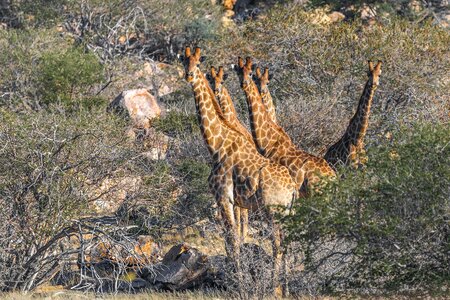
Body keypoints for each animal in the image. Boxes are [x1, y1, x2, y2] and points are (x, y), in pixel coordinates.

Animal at [236, 56, 334, 195]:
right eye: (239, 73)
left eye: (250, 73)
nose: (243, 84)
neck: (267, 142)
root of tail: (333, 177)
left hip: (314, 191)